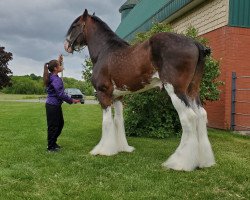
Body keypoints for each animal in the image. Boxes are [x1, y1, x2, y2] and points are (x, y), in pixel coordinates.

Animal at [64, 9, 215, 171]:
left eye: (75, 25)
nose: (66, 45)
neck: (105, 51)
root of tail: (195, 43)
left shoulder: (103, 93)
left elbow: (107, 122)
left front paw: (103, 150)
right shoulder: (118, 97)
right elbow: (118, 120)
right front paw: (122, 148)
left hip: (176, 90)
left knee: (189, 117)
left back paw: (179, 163)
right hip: (192, 90)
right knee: (201, 115)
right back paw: (203, 161)